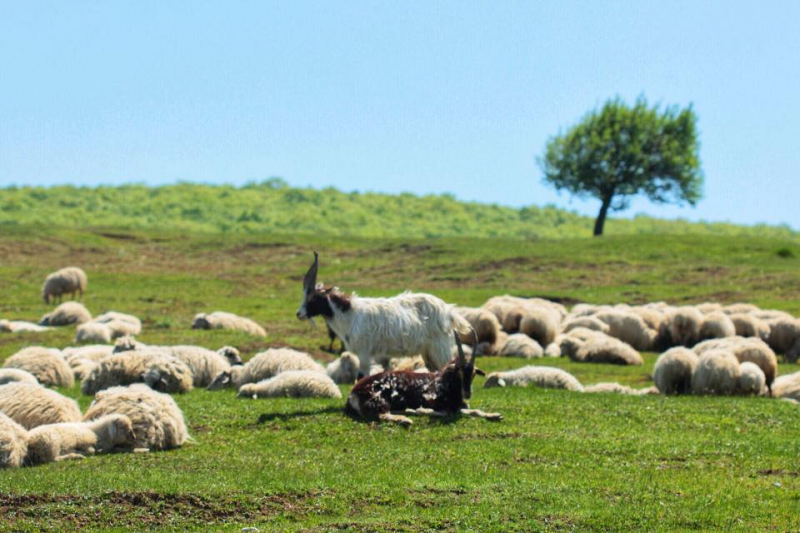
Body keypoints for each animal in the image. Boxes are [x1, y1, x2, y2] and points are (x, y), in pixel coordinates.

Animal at [344, 330, 500, 426]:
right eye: (458, 372)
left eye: (473, 374)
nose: (467, 393)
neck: (444, 382)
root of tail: (354, 392)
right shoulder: (431, 400)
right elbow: (445, 413)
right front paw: (421, 411)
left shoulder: (457, 406)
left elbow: (473, 411)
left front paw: (495, 415)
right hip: (378, 399)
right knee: (381, 415)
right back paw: (406, 420)